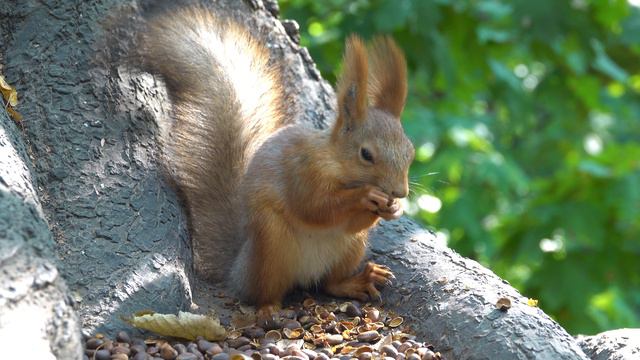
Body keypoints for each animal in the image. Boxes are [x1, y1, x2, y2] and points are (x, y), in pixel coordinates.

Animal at [135, 4, 416, 316]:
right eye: (366, 154)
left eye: (410, 151)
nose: (400, 191)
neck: (337, 165)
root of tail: (236, 270)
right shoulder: (300, 170)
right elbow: (315, 207)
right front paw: (367, 195)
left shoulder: (348, 219)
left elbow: (350, 223)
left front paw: (395, 208)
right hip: (271, 244)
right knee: (263, 292)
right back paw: (269, 309)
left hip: (351, 247)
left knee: (329, 283)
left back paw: (358, 281)